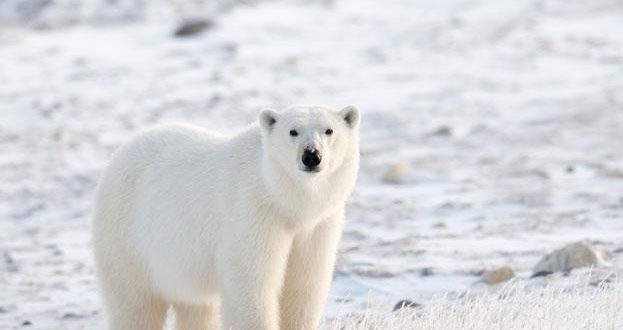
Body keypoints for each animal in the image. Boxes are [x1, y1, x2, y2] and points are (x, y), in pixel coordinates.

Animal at [92, 104, 360, 328]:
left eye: (329, 130)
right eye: (293, 131)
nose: (311, 155)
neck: (286, 203)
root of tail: (119, 154)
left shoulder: (317, 226)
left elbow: (303, 287)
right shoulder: (252, 213)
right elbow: (251, 284)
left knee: (196, 308)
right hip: (128, 239)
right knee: (135, 304)